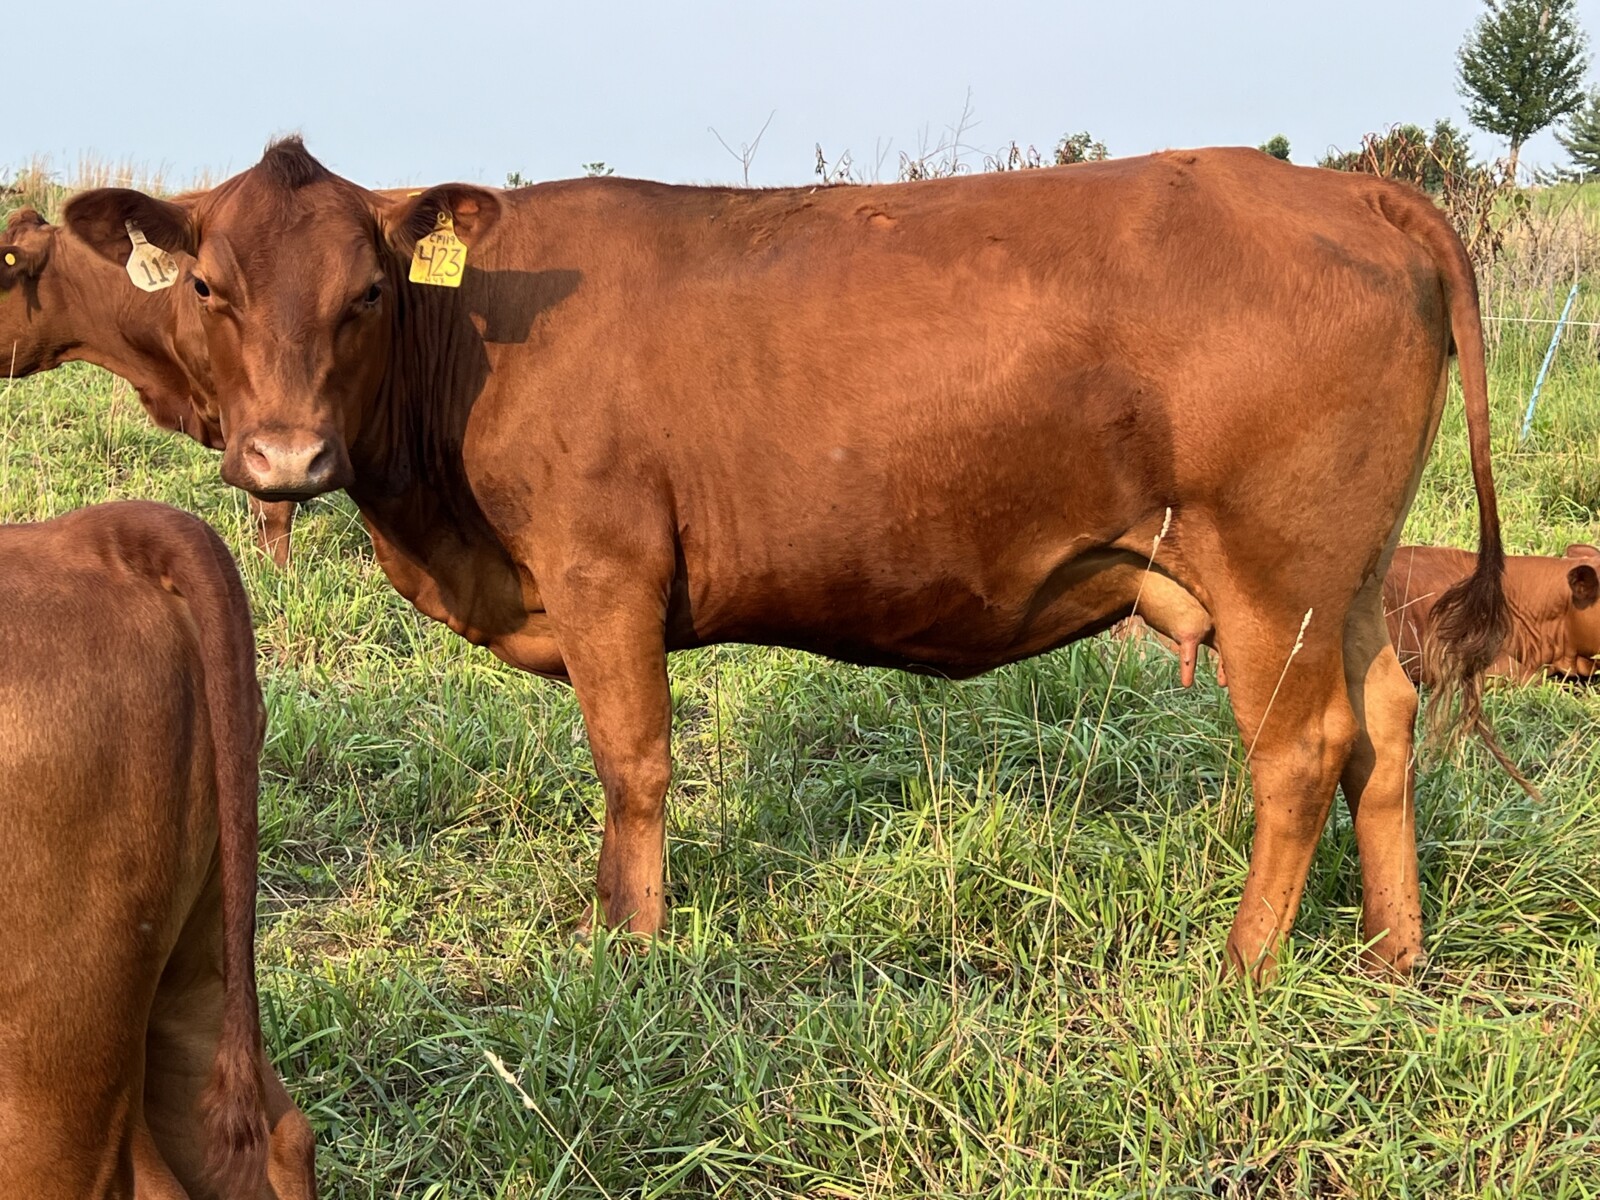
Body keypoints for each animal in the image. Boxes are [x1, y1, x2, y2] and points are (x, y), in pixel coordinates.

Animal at [64, 138, 1516, 980]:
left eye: (365, 293)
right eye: (211, 291)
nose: (284, 457)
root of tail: (1343, 186)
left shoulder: (605, 572)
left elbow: (634, 763)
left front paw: (626, 946)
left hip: (1274, 571)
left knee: (1301, 752)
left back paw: (1245, 968)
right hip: (1348, 574)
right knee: (1385, 726)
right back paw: (1391, 957)